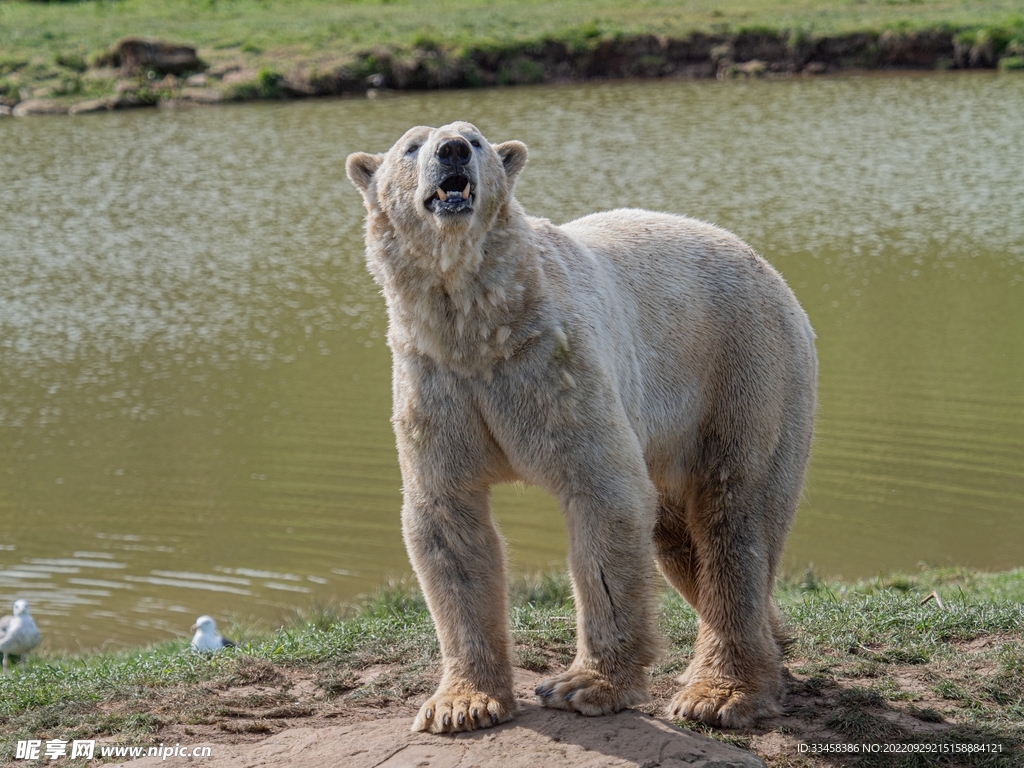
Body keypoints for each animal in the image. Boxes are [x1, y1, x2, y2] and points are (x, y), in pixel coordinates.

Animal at [348, 123, 819, 737]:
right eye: (411, 146)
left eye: (475, 140)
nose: (452, 150)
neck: (481, 330)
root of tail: (767, 266)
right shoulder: (436, 383)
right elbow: (447, 522)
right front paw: (461, 704)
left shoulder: (557, 366)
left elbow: (604, 495)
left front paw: (584, 686)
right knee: (679, 539)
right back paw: (772, 638)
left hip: (745, 370)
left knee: (733, 514)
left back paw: (721, 692)